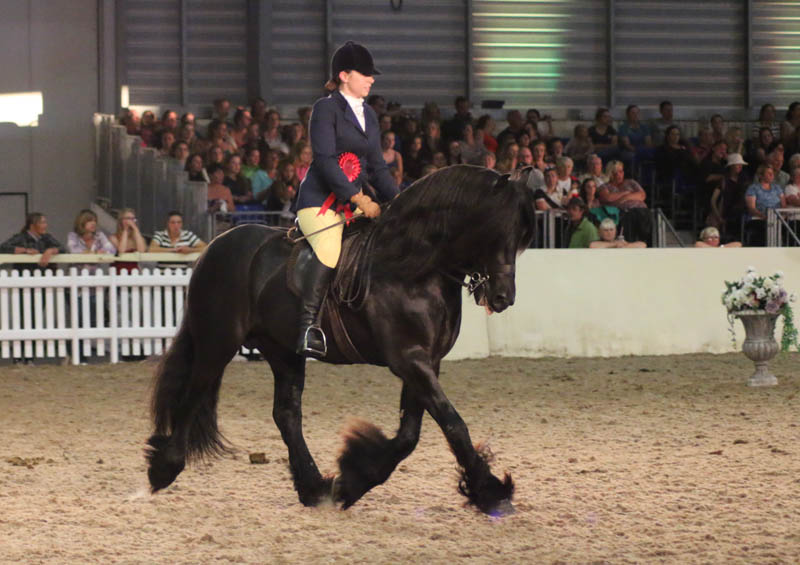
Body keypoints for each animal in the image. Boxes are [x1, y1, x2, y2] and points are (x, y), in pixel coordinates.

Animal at [150, 164, 536, 516]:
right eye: (495, 231)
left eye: (520, 238)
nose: (503, 297)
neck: (415, 268)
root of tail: (216, 245)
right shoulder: (409, 358)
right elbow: (452, 424)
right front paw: (491, 492)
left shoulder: (425, 361)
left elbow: (410, 434)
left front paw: (353, 480)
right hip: (218, 341)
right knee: (194, 394)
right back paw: (164, 468)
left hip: (283, 351)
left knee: (286, 414)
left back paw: (314, 488)